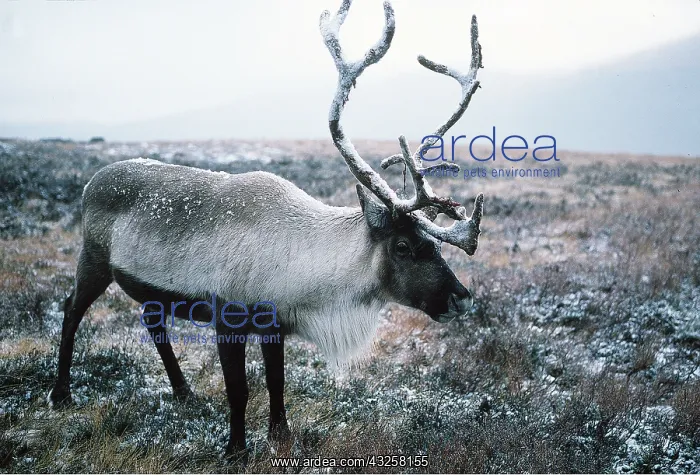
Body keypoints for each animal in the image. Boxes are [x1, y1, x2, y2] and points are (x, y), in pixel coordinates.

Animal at [48, 0, 485, 462]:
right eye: (403, 246)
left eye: (433, 241)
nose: (461, 298)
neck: (301, 262)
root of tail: (91, 181)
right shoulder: (228, 318)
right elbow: (239, 390)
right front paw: (235, 450)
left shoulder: (274, 324)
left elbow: (277, 384)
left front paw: (281, 437)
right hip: (93, 258)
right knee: (71, 309)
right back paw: (60, 394)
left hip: (146, 287)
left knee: (153, 322)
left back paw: (183, 392)